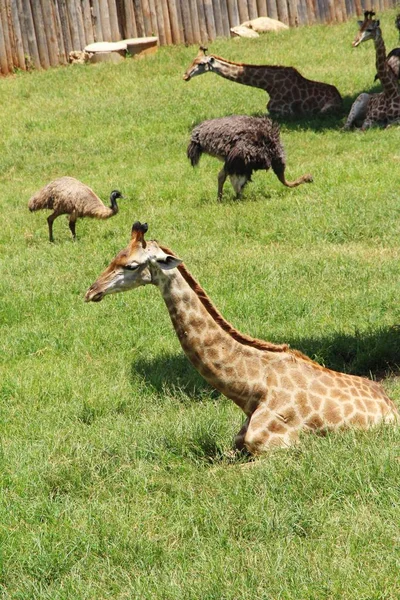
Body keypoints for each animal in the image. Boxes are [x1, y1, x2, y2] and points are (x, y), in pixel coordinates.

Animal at [84, 224, 396, 454]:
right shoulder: (237, 444)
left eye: (132, 265)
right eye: (115, 257)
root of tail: (392, 406)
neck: (251, 390)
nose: (90, 292)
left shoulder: (277, 448)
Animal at [183, 46, 342, 118]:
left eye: (201, 64)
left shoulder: (283, 111)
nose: (185, 76)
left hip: (326, 109)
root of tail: (339, 96)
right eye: (192, 60)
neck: (268, 86)